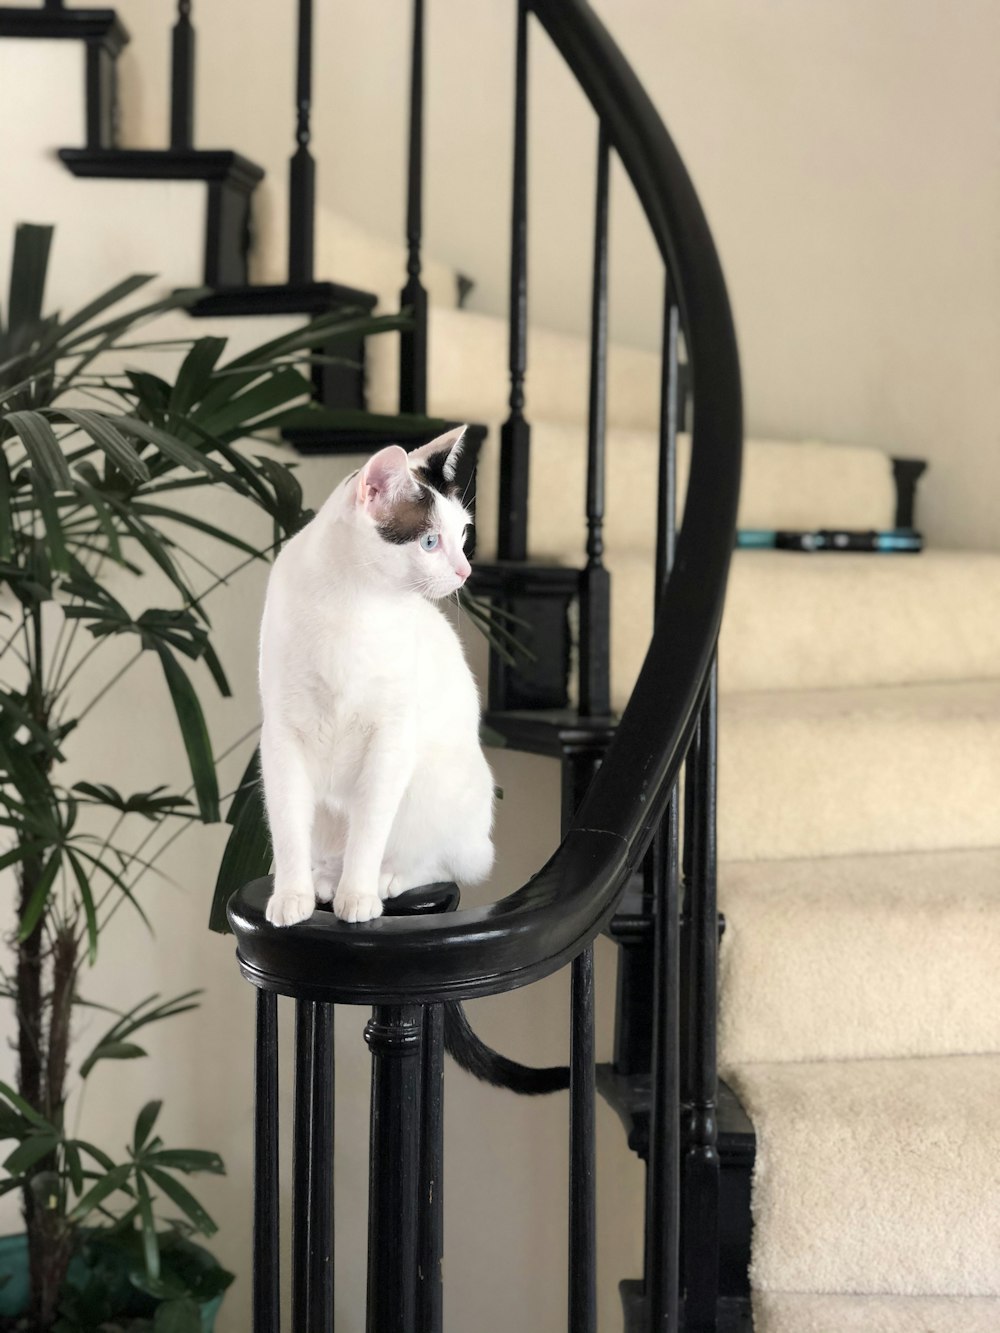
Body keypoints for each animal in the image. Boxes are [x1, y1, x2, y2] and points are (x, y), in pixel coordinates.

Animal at [256, 426, 496, 927]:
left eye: (463, 532)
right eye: (430, 542)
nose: (465, 571)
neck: (354, 602)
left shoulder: (391, 737)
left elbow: (368, 828)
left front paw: (359, 895)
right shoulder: (282, 736)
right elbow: (287, 827)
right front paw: (291, 895)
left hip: (436, 791)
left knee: (443, 862)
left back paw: (388, 877)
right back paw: (325, 877)